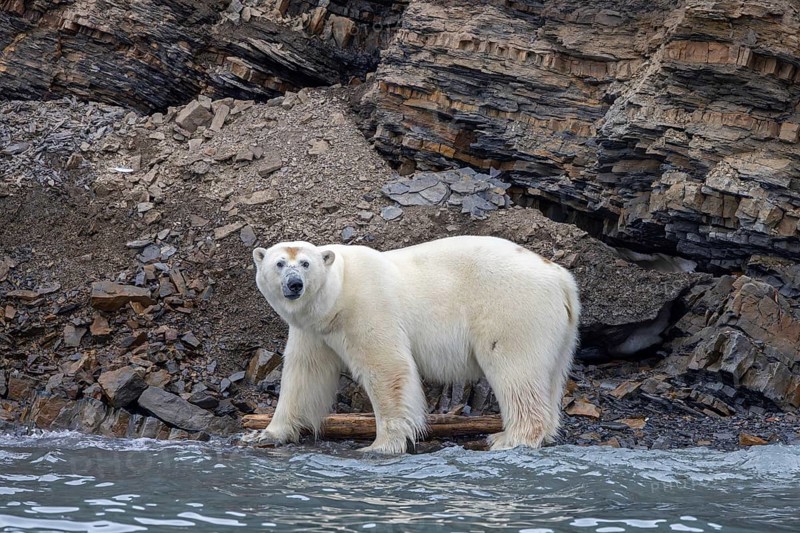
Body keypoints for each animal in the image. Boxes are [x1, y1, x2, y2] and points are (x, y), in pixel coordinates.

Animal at [243, 235, 580, 453]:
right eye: (279, 263)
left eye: (305, 263)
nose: (294, 284)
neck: (338, 294)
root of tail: (560, 277)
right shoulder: (314, 330)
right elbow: (304, 376)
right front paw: (265, 434)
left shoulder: (367, 307)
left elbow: (387, 367)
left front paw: (382, 445)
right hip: (561, 332)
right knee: (549, 376)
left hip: (512, 308)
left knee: (514, 368)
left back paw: (509, 438)